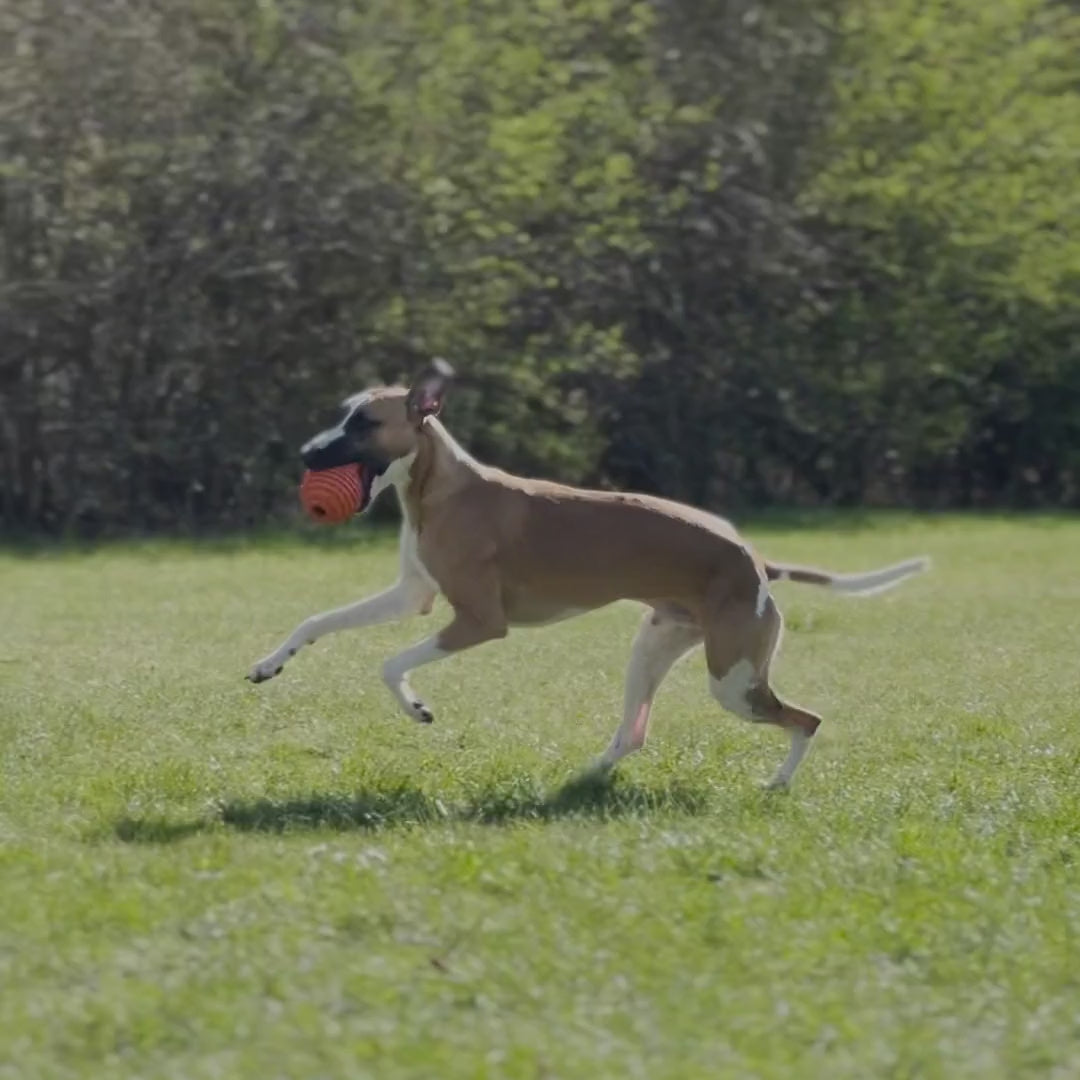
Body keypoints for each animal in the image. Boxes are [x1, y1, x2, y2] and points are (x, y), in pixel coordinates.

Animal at [247, 358, 928, 790]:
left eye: (365, 423)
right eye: (344, 414)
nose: (306, 453)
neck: (442, 488)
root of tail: (757, 561)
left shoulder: (480, 621)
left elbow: (389, 664)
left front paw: (417, 708)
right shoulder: (411, 595)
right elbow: (316, 621)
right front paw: (268, 664)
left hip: (732, 682)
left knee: (806, 720)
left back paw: (777, 785)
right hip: (654, 648)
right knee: (634, 735)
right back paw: (580, 781)